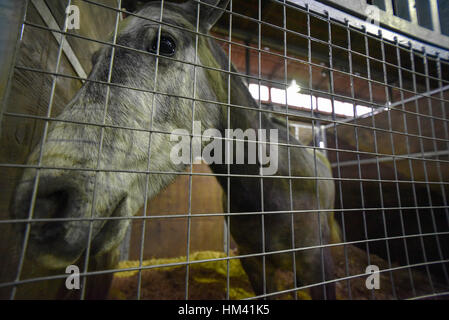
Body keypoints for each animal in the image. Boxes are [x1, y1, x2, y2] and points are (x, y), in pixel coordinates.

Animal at [10, 0, 338, 300]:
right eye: (94, 59)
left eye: (165, 43)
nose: (41, 205)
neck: (272, 185)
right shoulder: (255, 265)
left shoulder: (318, 266)